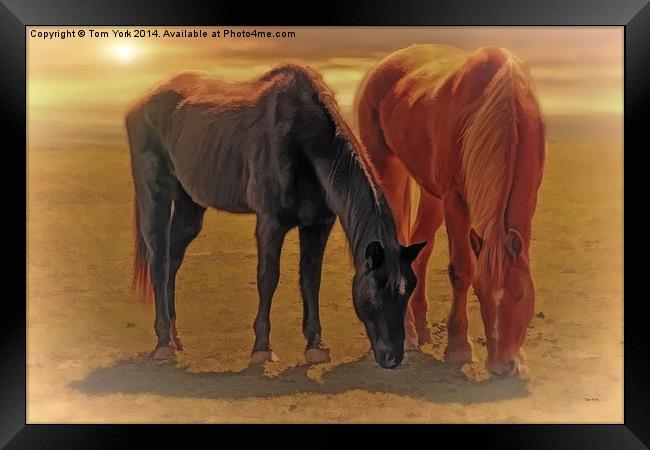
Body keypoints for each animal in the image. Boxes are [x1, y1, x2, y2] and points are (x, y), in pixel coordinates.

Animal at [125, 64, 426, 370]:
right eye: (377, 288)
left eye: (409, 289)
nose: (393, 357)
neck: (304, 141)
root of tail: (141, 103)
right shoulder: (270, 222)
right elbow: (268, 278)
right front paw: (262, 348)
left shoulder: (318, 225)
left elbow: (311, 279)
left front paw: (315, 345)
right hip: (156, 195)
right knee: (159, 260)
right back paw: (164, 343)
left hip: (190, 203)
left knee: (173, 258)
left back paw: (175, 339)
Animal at [354, 44, 540, 376]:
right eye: (480, 294)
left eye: (520, 294)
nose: (500, 366)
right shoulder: (455, 202)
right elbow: (461, 270)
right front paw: (458, 347)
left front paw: (520, 358)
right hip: (388, 171)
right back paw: (409, 333)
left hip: (431, 194)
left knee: (421, 248)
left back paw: (421, 324)